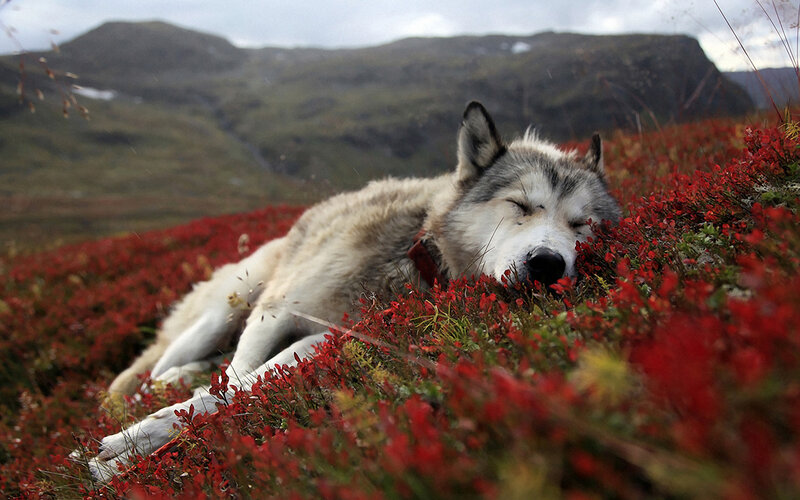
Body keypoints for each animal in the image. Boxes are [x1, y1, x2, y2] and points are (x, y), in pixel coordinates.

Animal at [80, 101, 621, 481]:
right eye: (520, 205)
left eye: (582, 225)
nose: (548, 265)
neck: (413, 254)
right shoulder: (274, 312)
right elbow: (231, 382)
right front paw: (132, 444)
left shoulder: (330, 337)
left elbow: (238, 388)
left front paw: (135, 449)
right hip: (229, 307)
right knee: (150, 372)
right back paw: (147, 390)